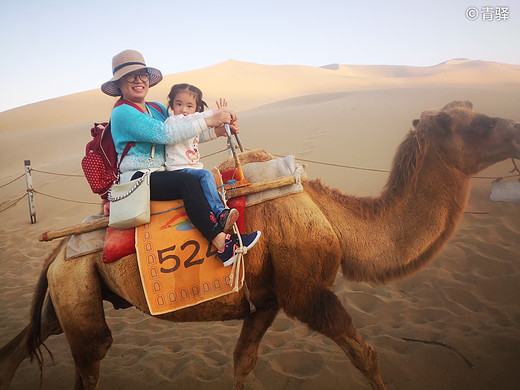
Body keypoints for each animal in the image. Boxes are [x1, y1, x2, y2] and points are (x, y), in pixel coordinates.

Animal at [0, 99, 516, 388]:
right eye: (474, 125)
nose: (514, 128)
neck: (332, 219)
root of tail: (54, 252)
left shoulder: (267, 300)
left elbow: (242, 363)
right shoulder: (307, 294)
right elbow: (366, 356)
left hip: (68, 296)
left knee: (23, 344)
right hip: (79, 294)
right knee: (90, 363)